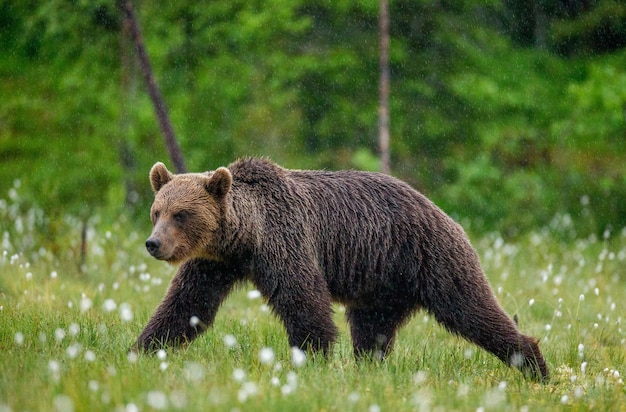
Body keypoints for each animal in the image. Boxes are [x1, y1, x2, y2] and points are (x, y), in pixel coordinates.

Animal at [135, 156, 544, 382]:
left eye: (181, 214)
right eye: (157, 211)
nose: (154, 243)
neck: (245, 239)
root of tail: (442, 211)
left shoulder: (286, 241)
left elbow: (304, 302)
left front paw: (312, 358)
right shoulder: (213, 264)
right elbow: (188, 306)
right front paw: (143, 349)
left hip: (432, 257)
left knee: (471, 308)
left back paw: (534, 365)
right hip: (380, 286)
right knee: (372, 329)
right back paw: (369, 368)